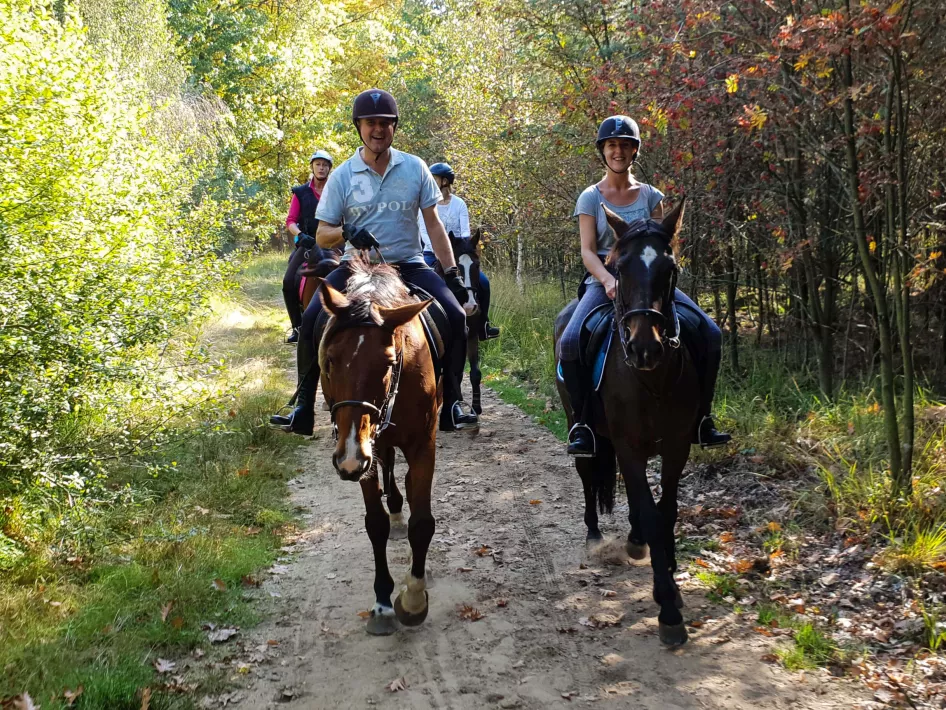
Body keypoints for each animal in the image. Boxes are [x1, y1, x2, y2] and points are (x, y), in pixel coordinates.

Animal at [317, 256, 440, 636]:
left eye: (388, 363)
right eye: (329, 360)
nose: (348, 458)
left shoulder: (423, 445)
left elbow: (422, 522)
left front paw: (413, 599)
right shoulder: (359, 455)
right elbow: (376, 524)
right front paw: (383, 603)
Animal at [553, 199, 698, 647]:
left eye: (670, 268)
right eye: (618, 268)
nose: (644, 347)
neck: (653, 380)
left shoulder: (677, 444)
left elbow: (665, 511)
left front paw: (671, 581)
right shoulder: (629, 443)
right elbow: (650, 512)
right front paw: (667, 607)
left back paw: (634, 540)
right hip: (584, 426)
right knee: (588, 474)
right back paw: (595, 535)